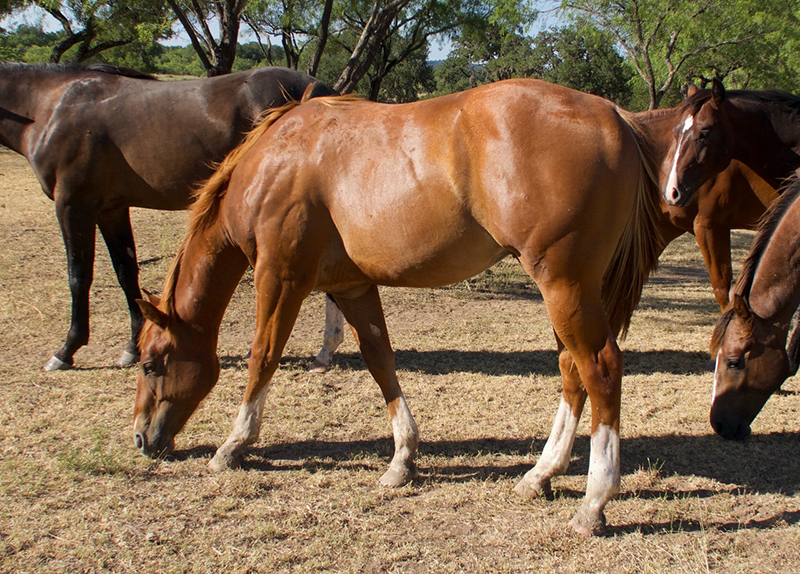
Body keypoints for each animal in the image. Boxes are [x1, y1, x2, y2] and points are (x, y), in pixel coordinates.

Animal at [0, 60, 340, 372]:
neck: (52, 106)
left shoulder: (73, 204)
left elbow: (78, 275)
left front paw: (66, 350)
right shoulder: (111, 209)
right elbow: (126, 272)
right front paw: (133, 346)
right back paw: (323, 354)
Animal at [134, 79, 664, 536]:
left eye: (151, 363)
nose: (142, 440)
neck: (275, 161)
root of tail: (612, 114)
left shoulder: (280, 278)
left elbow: (262, 357)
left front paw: (233, 445)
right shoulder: (353, 288)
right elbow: (380, 362)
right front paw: (402, 458)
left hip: (564, 285)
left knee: (600, 369)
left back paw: (594, 502)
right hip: (569, 292)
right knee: (572, 372)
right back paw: (540, 475)